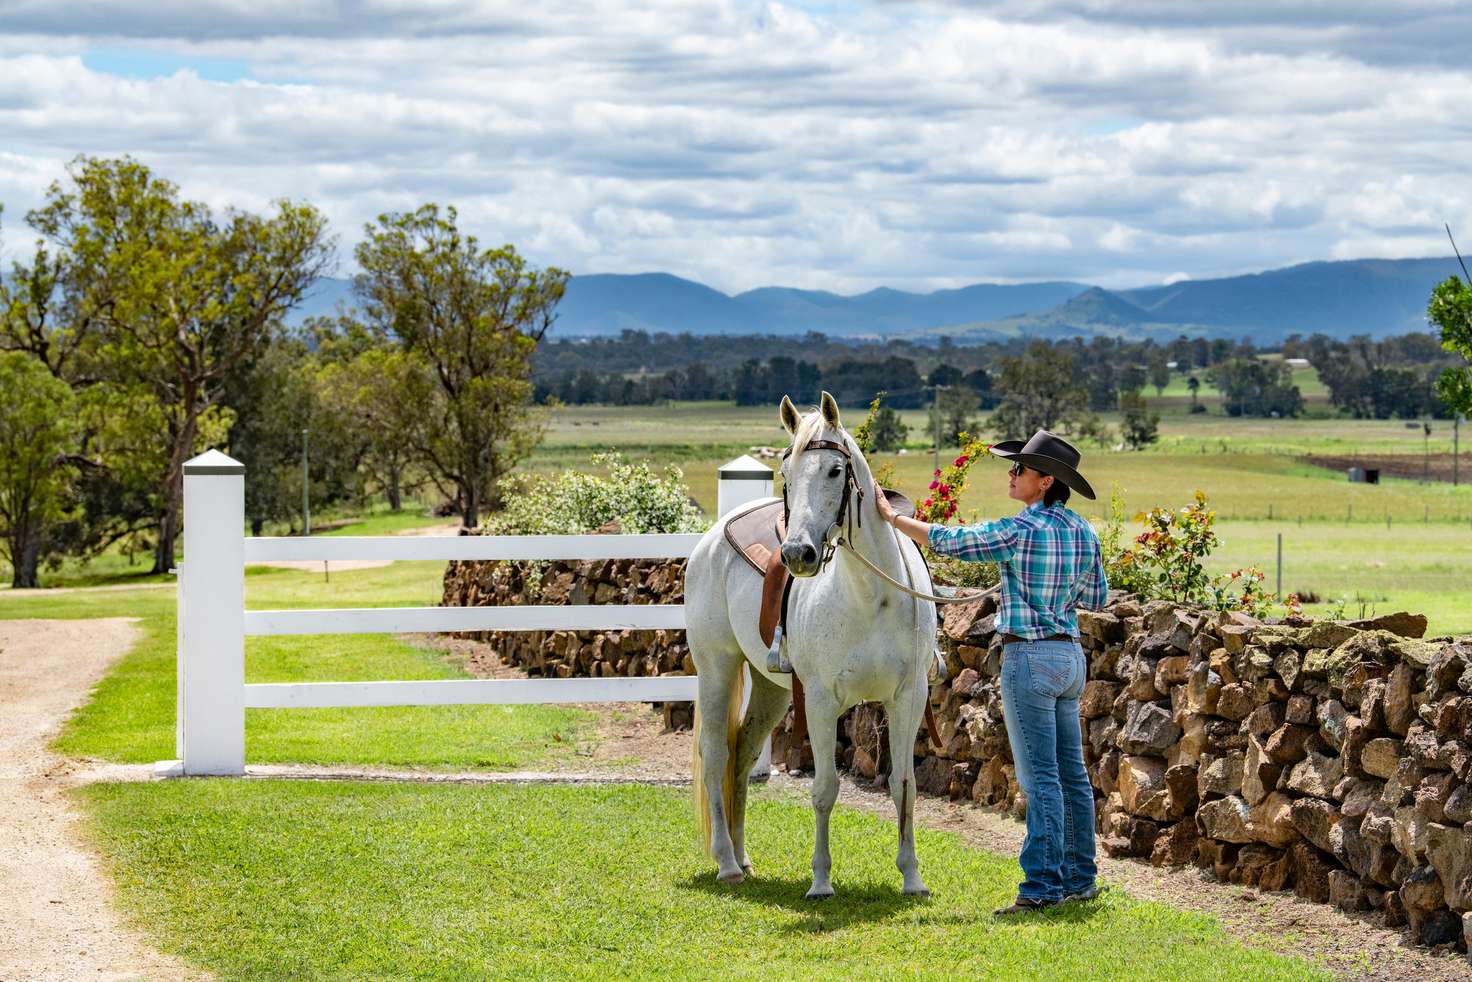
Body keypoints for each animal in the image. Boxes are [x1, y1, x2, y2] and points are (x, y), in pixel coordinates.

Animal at [685, 391, 936, 901]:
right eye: (786, 470)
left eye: (836, 471)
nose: (797, 554)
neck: (871, 597)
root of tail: (713, 537)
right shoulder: (820, 701)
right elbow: (823, 790)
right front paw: (821, 880)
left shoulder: (909, 698)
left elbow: (904, 785)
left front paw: (912, 877)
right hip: (717, 667)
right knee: (715, 754)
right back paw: (726, 863)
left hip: (772, 689)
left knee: (742, 754)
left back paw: (742, 855)